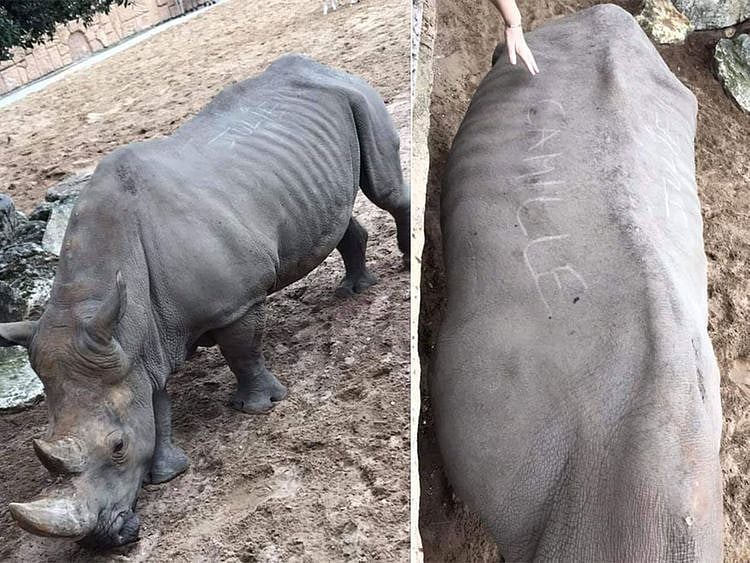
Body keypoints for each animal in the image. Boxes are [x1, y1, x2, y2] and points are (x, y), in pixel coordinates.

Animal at [0, 54, 409, 548]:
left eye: (117, 447)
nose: (103, 539)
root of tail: (323, 66)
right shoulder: (131, 345)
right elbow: (154, 405)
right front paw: (166, 475)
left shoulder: (233, 305)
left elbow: (241, 352)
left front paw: (256, 408)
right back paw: (354, 290)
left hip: (356, 95)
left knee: (384, 190)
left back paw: (401, 268)